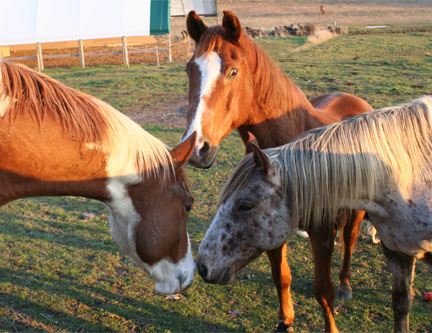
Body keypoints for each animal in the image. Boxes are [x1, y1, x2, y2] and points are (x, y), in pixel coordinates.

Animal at [182, 9, 374, 330]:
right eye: (189, 70)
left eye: (232, 72)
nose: (196, 148)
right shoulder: (268, 224)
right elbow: (280, 276)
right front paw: (285, 321)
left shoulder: (322, 232)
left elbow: (324, 290)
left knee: (350, 240)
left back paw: (346, 283)